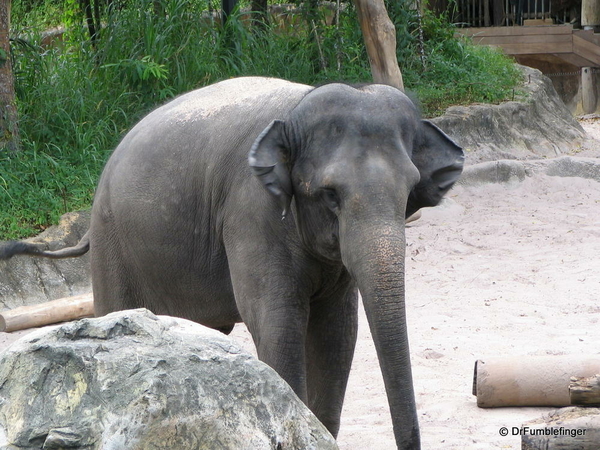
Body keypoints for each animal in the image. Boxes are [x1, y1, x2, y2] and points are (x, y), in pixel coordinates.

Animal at [1, 77, 464, 450]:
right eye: (330, 194)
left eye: (408, 191)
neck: (295, 113)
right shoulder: (251, 212)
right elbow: (278, 323)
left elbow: (337, 333)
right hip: (113, 242)